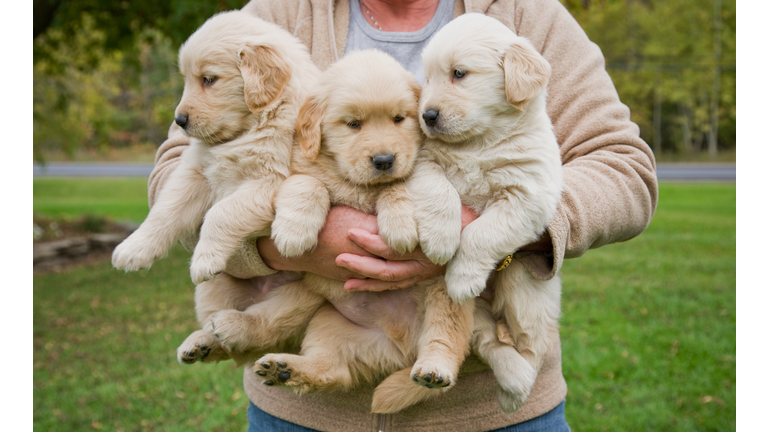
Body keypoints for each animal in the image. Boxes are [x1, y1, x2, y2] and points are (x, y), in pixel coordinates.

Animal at [111, 10, 318, 286]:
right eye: (187, 80)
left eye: (209, 79)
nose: (179, 121)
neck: (249, 128)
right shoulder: (196, 172)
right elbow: (165, 209)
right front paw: (134, 247)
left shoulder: (268, 182)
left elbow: (220, 213)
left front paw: (205, 260)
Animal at [204, 49, 474, 414]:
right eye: (353, 124)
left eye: (399, 119)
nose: (384, 160)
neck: (354, 182)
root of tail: (401, 346)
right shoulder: (295, 169)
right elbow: (309, 183)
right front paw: (293, 231)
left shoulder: (411, 169)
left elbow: (397, 186)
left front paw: (399, 222)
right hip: (318, 306)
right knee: (322, 363)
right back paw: (273, 360)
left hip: (446, 291)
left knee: (445, 338)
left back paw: (434, 369)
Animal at [408, 12, 564, 412]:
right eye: (427, 78)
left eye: (459, 74)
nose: (426, 116)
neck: (479, 143)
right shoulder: (424, 161)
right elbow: (440, 191)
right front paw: (441, 238)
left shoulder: (527, 195)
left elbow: (482, 233)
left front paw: (463, 275)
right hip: (458, 305)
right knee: (487, 339)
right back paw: (508, 380)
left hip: (525, 292)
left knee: (531, 346)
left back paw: (517, 389)